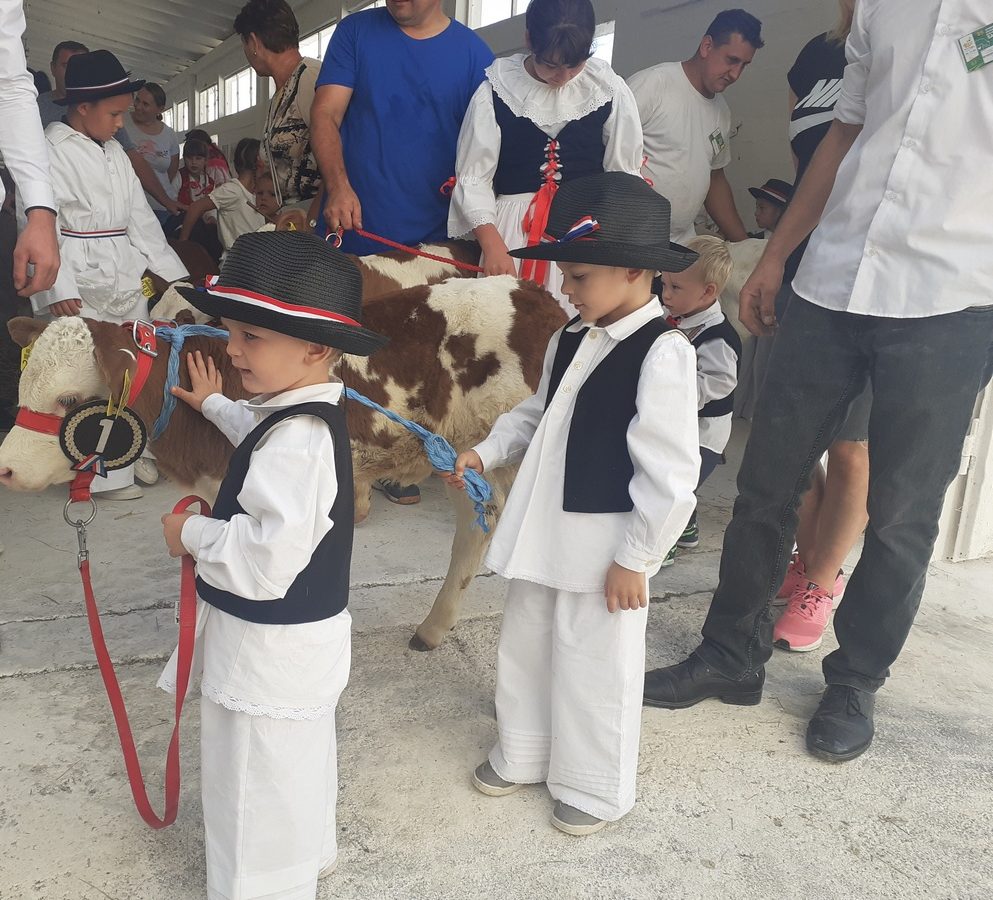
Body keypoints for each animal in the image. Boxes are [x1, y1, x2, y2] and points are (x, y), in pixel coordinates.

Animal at [0, 274, 564, 648]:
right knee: (477, 524)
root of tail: (536, 297)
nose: (5, 467)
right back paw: (433, 627)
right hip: (458, 455)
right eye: (25, 387)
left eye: (69, 399)